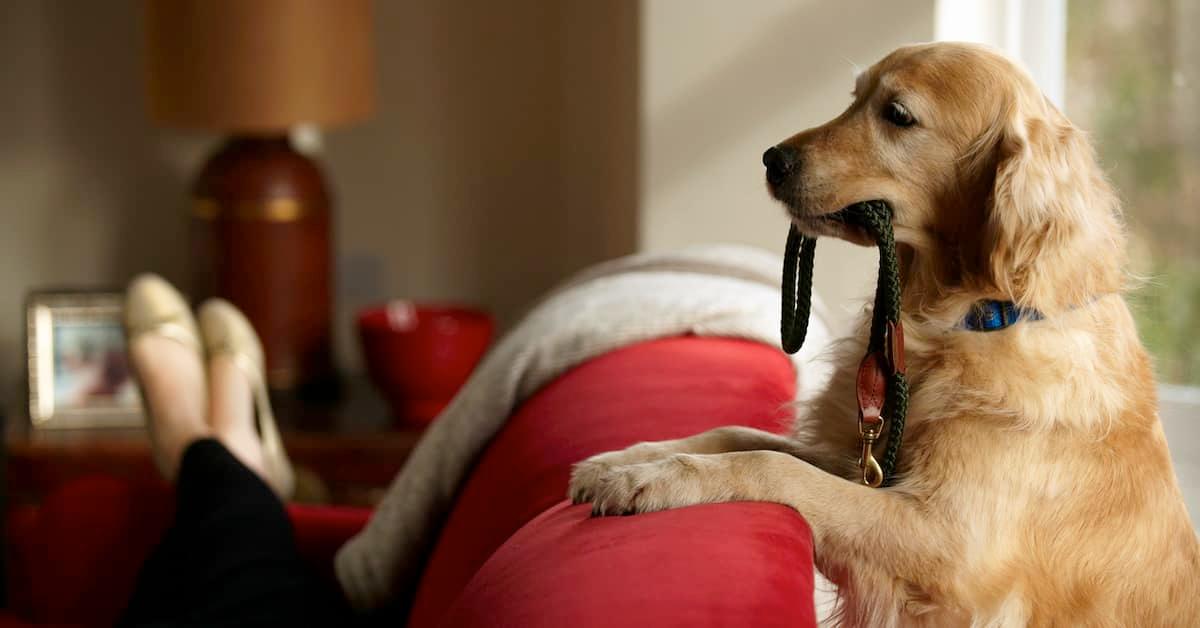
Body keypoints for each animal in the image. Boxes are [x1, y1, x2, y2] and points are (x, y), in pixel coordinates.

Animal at [568, 41, 1200, 624]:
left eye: (897, 114)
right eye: (854, 98)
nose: (772, 159)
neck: (965, 318)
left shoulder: (948, 545)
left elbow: (770, 465)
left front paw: (651, 482)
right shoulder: (867, 466)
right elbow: (738, 433)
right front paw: (626, 462)